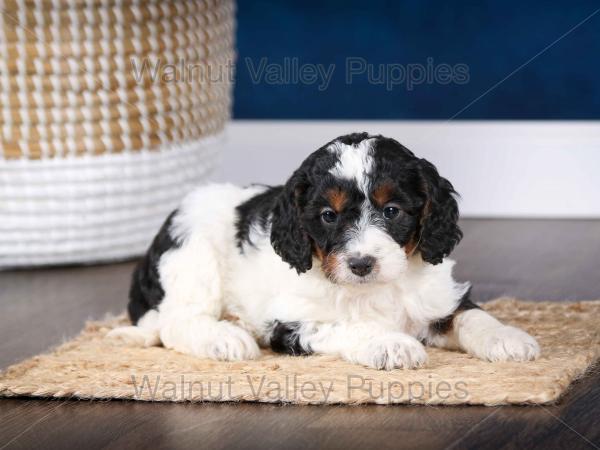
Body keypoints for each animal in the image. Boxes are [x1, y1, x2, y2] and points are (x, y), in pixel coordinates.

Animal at [108, 133, 540, 370]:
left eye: (392, 210)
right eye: (328, 216)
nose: (361, 264)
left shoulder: (437, 297)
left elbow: (471, 316)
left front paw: (508, 338)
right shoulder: (292, 322)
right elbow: (352, 325)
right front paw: (392, 344)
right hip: (193, 257)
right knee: (175, 322)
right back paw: (226, 338)